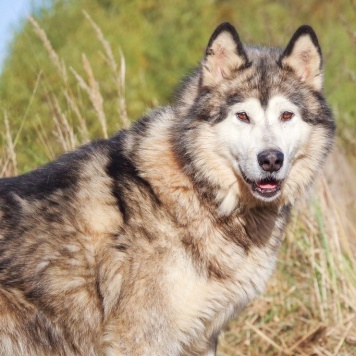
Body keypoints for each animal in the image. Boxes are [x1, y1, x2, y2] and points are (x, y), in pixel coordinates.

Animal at [0, 23, 334, 356]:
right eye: (243, 116)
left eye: (286, 115)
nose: (271, 159)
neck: (194, 187)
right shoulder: (142, 338)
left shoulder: (201, 339)